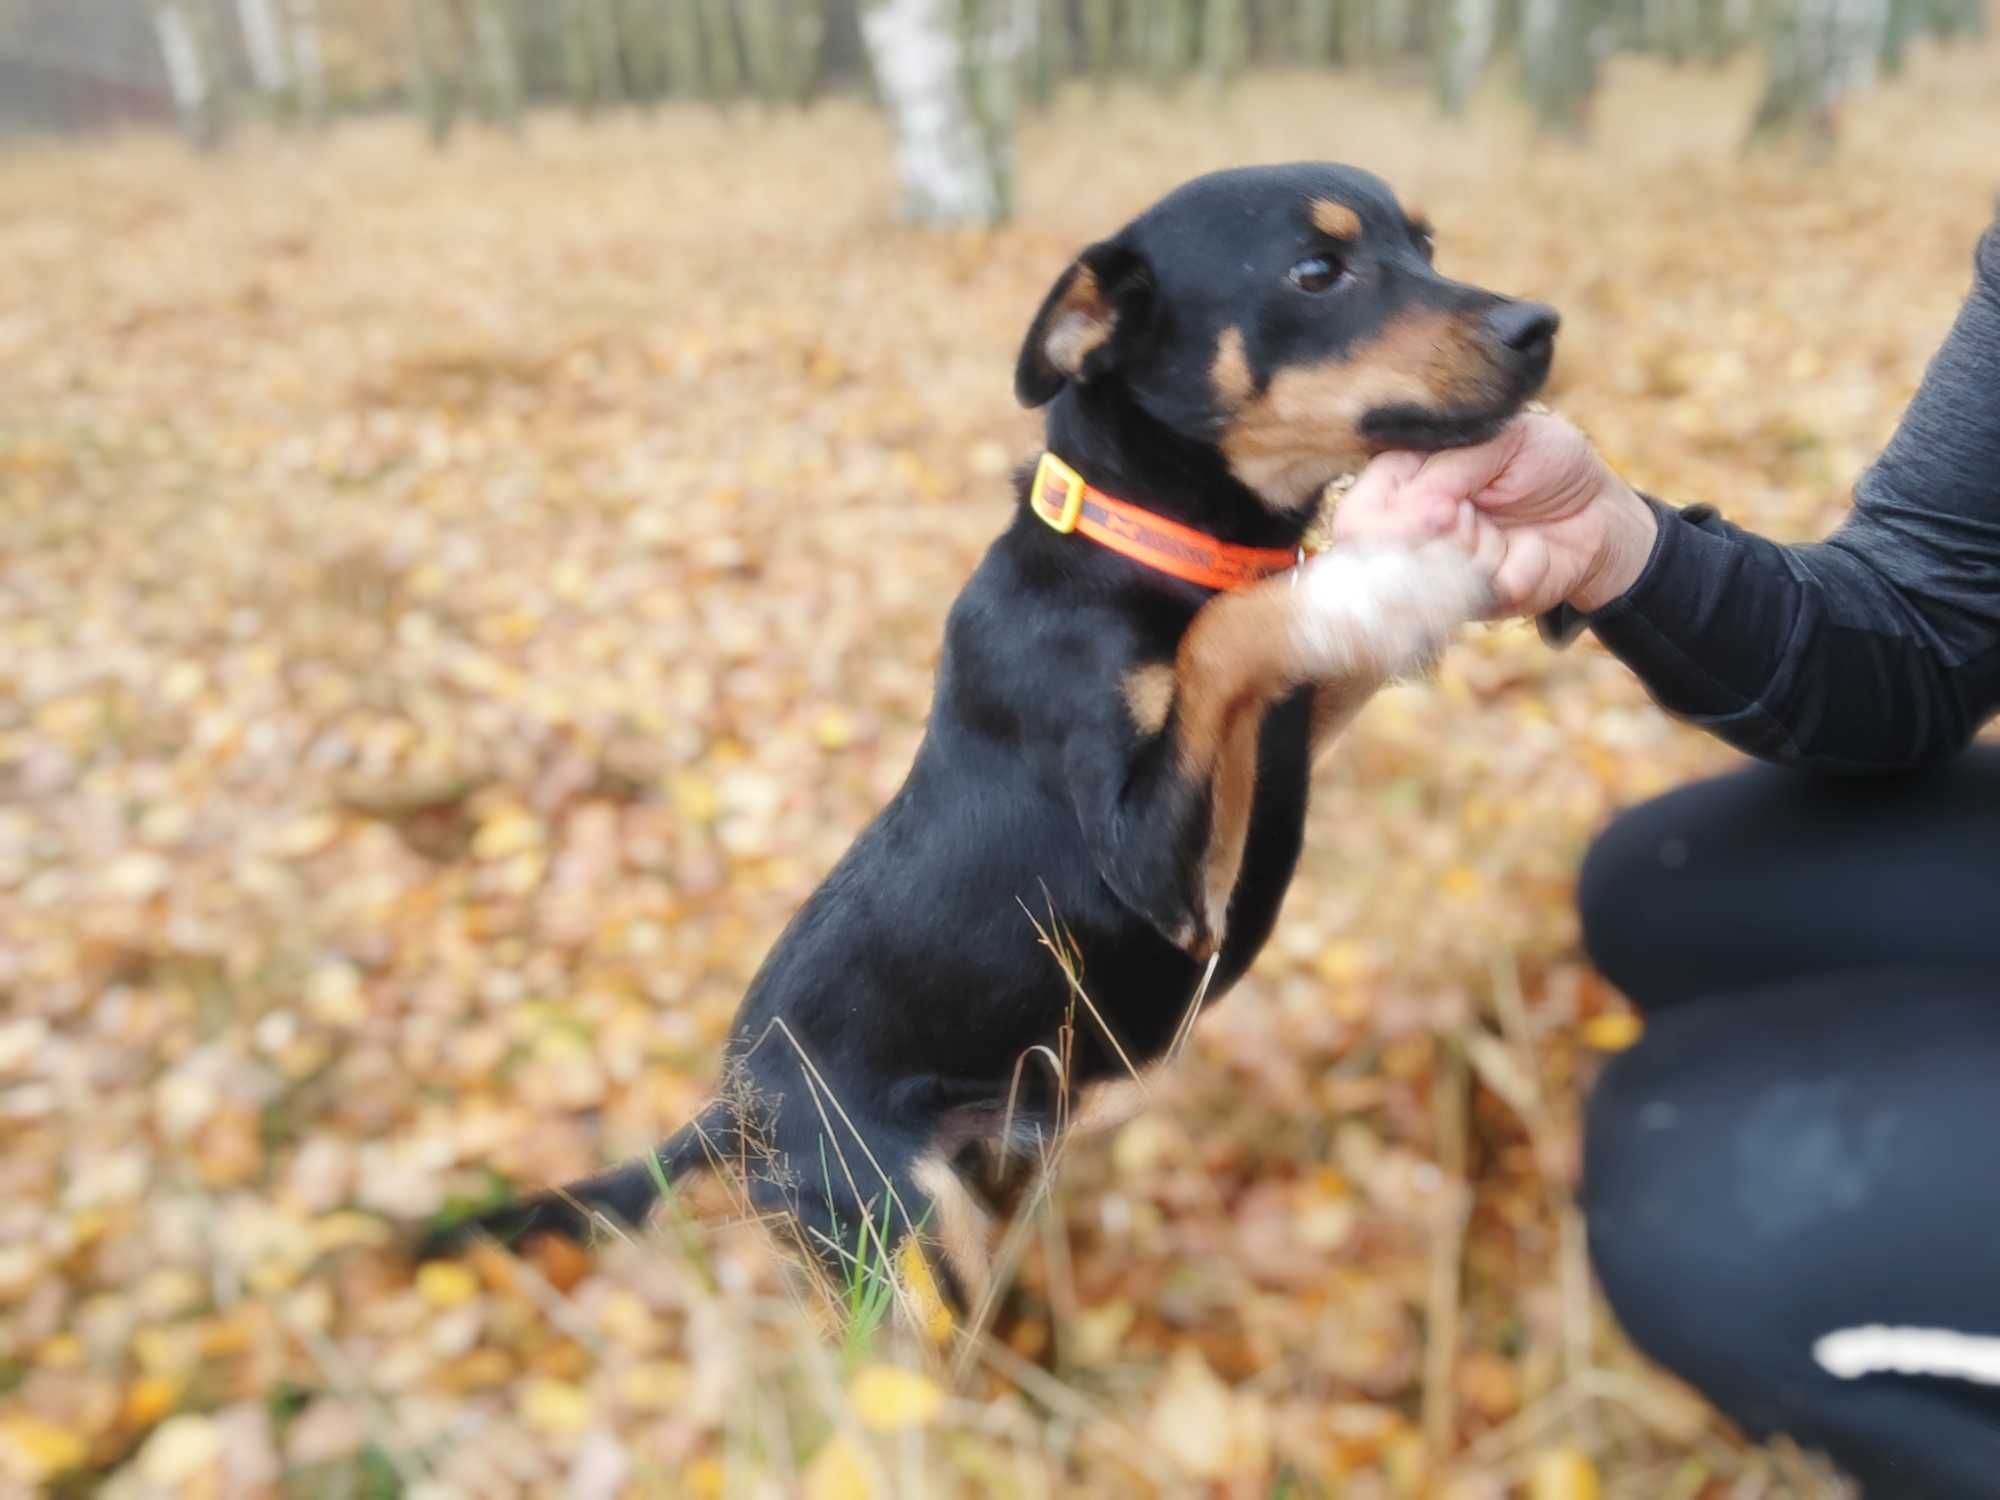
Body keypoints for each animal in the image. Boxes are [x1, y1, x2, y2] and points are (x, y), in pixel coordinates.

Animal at [442, 162, 1560, 1312]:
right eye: (1316, 270)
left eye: (1426, 246)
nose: (1538, 327)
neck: (1139, 542)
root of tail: (729, 1115)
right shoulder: (1163, 884)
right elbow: (1227, 636)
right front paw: (1397, 575)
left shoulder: (1285, 739)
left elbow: (1283, 638)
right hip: (900, 1233)